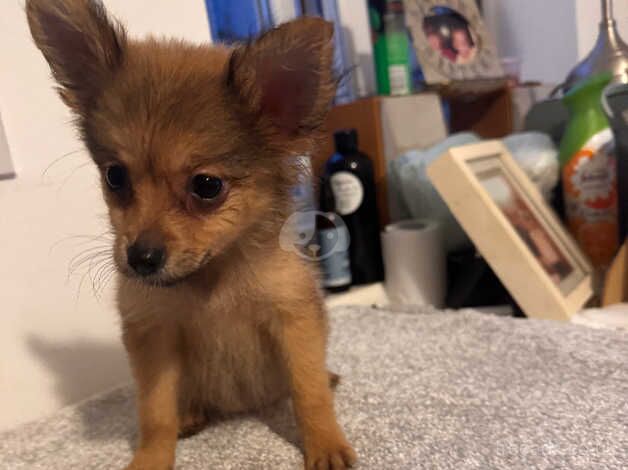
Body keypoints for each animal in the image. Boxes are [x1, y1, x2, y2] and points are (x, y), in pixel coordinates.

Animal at [25, 1, 354, 468]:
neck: (212, 279)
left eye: (207, 186)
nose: (141, 258)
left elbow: (309, 392)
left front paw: (325, 444)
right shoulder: (152, 336)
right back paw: (192, 413)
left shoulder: (294, 320)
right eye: (115, 176)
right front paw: (151, 457)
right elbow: (155, 412)